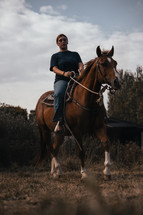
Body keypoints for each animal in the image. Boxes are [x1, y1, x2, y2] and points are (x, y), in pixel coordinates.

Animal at [35, 45, 121, 180]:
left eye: (115, 63)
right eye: (103, 63)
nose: (118, 82)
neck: (86, 99)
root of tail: (40, 101)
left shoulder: (99, 127)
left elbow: (106, 143)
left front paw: (107, 172)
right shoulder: (76, 130)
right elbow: (81, 151)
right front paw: (84, 173)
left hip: (59, 134)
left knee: (54, 148)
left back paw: (54, 172)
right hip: (44, 129)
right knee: (50, 149)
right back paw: (58, 170)